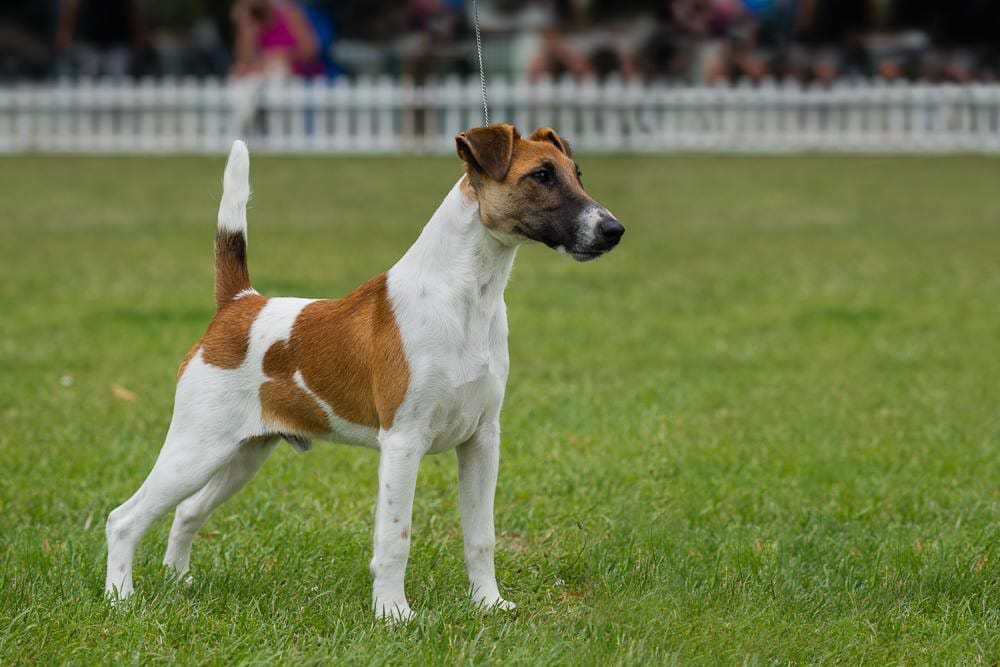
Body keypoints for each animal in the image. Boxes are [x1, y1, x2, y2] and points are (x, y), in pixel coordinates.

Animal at [107, 125, 624, 620]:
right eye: (540, 176)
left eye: (577, 173)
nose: (614, 230)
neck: (464, 298)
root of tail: (238, 304)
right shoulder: (403, 442)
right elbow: (395, 539)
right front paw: (393, 613)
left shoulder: (482, 440)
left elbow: (481, 536)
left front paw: (489, 604)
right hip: (196, 448)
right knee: (124, 519)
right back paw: (120, 600)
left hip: (241, 455)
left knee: (186, 512)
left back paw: (179, 582)